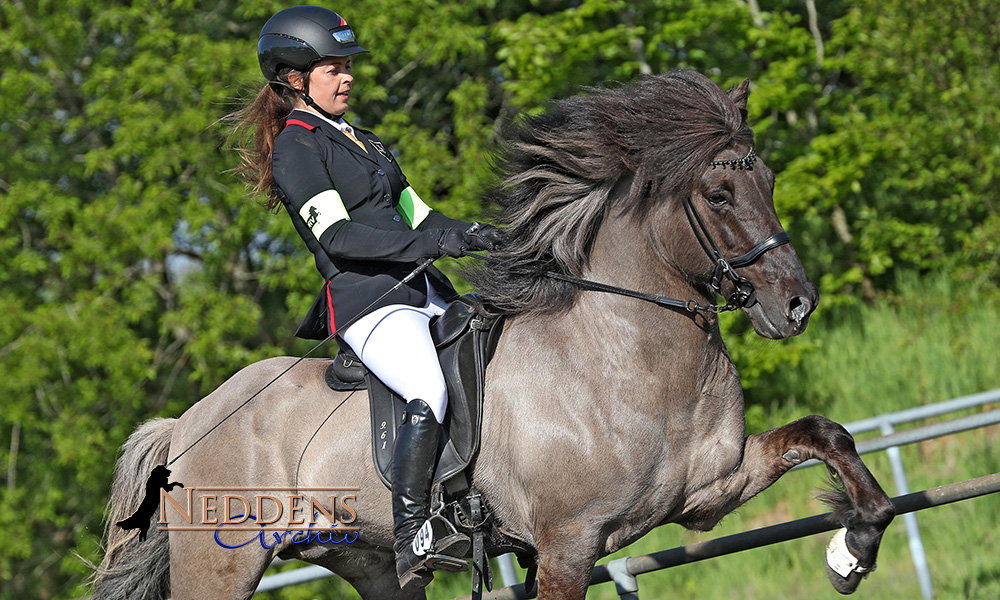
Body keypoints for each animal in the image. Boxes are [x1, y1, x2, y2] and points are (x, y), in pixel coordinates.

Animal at [94, 71, 896, 600]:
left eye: (767, 180)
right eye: (720, 194)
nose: (795, 305)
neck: (624, 360)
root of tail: (186, 423)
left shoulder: (709, 494)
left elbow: (824, 435)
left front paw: (852, 550)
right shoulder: (569, 548)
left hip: (373, 564)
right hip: (222, 564)